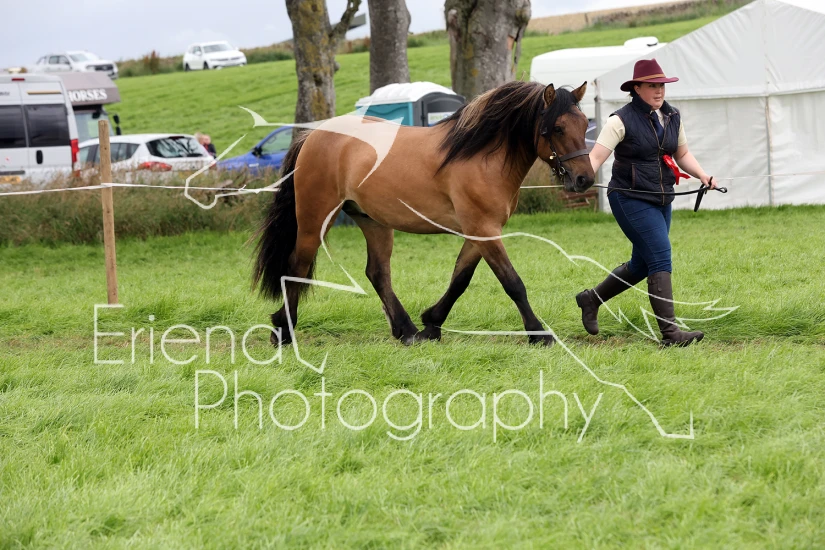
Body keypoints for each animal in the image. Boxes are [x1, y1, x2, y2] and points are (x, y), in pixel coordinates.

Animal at [253, 80, 594, 347]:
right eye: (558, 128)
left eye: (585, 123)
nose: (585, 179)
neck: (481, 156)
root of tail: (312, 136)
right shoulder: (484, 230)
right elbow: (512, 282)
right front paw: (538, 333)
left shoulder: (480, 231)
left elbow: (460, 279)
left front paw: (431, 323)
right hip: (315, 219)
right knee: (297, 266)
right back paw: (283, 331)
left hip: (372, 221)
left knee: (377, 273)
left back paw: (406, 331)